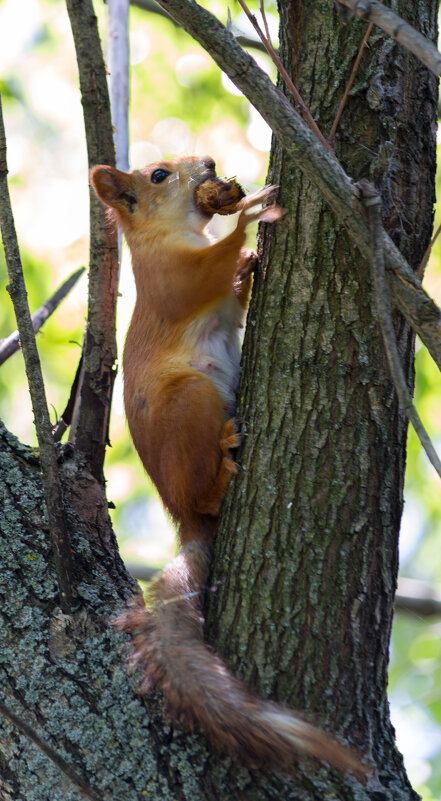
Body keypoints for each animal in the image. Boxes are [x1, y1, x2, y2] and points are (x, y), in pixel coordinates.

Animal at [88, 153, 360, 780]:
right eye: (159, 175)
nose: (209, 163)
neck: (176, 233)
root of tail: (182, 517)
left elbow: (231, 297)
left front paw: (251, 260)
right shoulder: (169, 280)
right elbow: (202, 277)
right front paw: (253, 214)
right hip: (192, 403)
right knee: (203, 490)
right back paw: (221, 471)